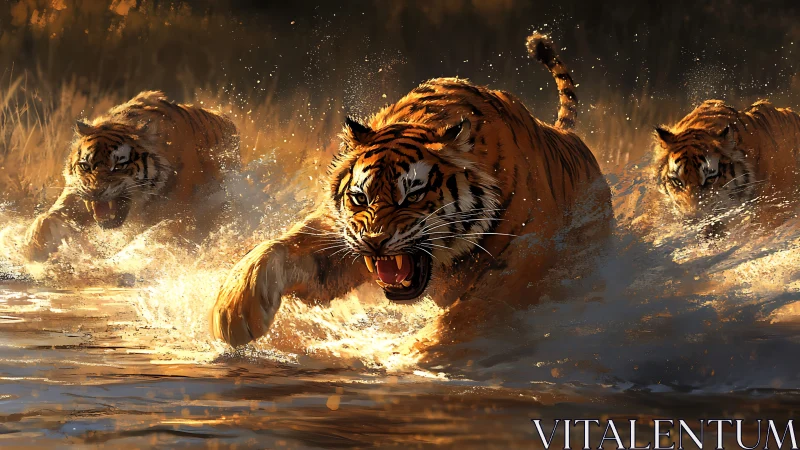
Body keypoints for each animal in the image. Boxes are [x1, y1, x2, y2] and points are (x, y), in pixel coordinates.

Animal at [23, 91, 240, 261]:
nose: (95, 192)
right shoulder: (75, 196)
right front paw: (32, 253)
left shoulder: (179, 215)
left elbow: (154, 236)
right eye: (85, 166)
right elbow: (46, 220)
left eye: (119, 166)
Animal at [211, 32, 612, 348]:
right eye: (360, 197)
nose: (375, 242)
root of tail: (565, 132)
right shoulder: (338, 240)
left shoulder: (523, 259)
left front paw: (404, 359)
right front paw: (231, 314)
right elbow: (275, 248)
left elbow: (466, 317)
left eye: (414, 195)